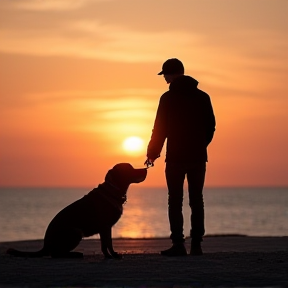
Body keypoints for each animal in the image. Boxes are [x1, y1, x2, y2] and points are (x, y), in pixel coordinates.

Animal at [7, 163, 146, 260]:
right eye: (130, 168)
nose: (145, 169)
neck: (112, 190)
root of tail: (45, 245)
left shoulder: (106, 228)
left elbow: (106, 243)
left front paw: (110, 255)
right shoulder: (105, 227)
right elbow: (108, 243)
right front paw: (112, 256)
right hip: (76, 231)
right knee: (56, 254)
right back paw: (75, 254)